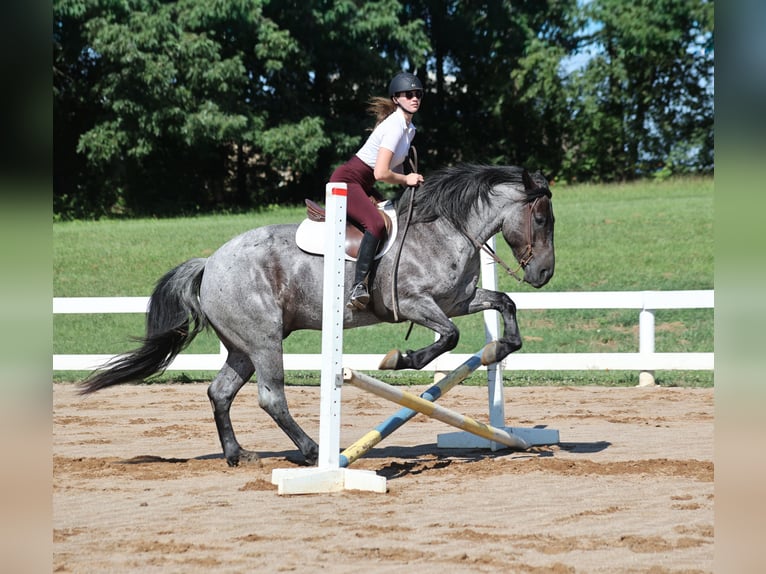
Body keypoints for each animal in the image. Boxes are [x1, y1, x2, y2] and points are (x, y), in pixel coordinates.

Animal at [79, 164, 555, 466]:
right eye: (541, 218)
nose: (544, 274)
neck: (443, 228)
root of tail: (209, 263)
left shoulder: (459, 299)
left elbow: (504, 305)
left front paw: (501, 347)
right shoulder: (415, 303)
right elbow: (449, 337)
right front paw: (400, 360)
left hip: (242, 347)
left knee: (220, 392)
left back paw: (237, 455)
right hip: (265, 340)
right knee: (270, 397)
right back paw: (311, 452)